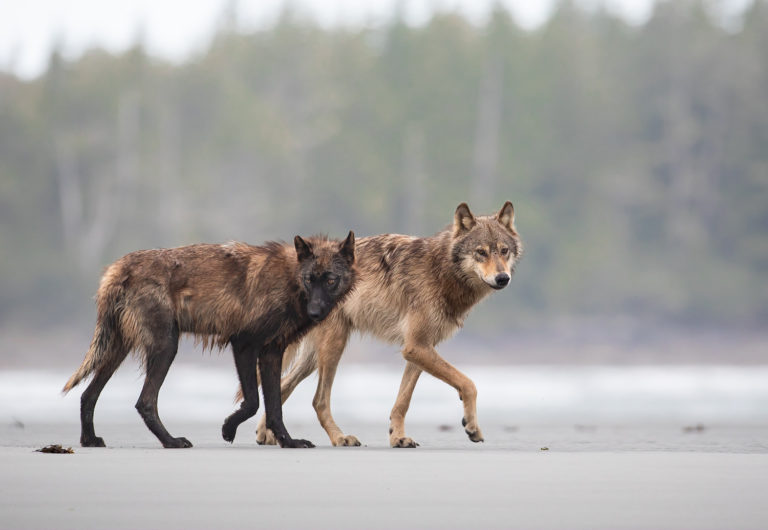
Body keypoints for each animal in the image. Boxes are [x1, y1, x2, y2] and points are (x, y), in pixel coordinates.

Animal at [63, 232, 356, 449]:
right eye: (310, 279)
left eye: (330, 280)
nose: (315, 313)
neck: (289, 279)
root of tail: (119, 266)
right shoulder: (244, 343)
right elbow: (253, 402)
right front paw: (228, 429)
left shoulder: (271, 352)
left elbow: (274, 407)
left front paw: (289, 442)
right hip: (166, 347)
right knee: (144, 402)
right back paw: (171, 441)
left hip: (118, 350)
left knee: (88, 395)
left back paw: (89, 440)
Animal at [250, 202, 522, 447]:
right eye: (481, 252)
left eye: (504, 251)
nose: (503, 278)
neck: (440, 271)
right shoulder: (416, 347)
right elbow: (469, 383)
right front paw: (472, 426)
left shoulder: (419, 349)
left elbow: (402, 402)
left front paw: (398, 437)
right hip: (333, 347)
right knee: (318, 400)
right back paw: (339, 438)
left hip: (314, 357)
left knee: (283, 385)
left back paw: (269, 435)